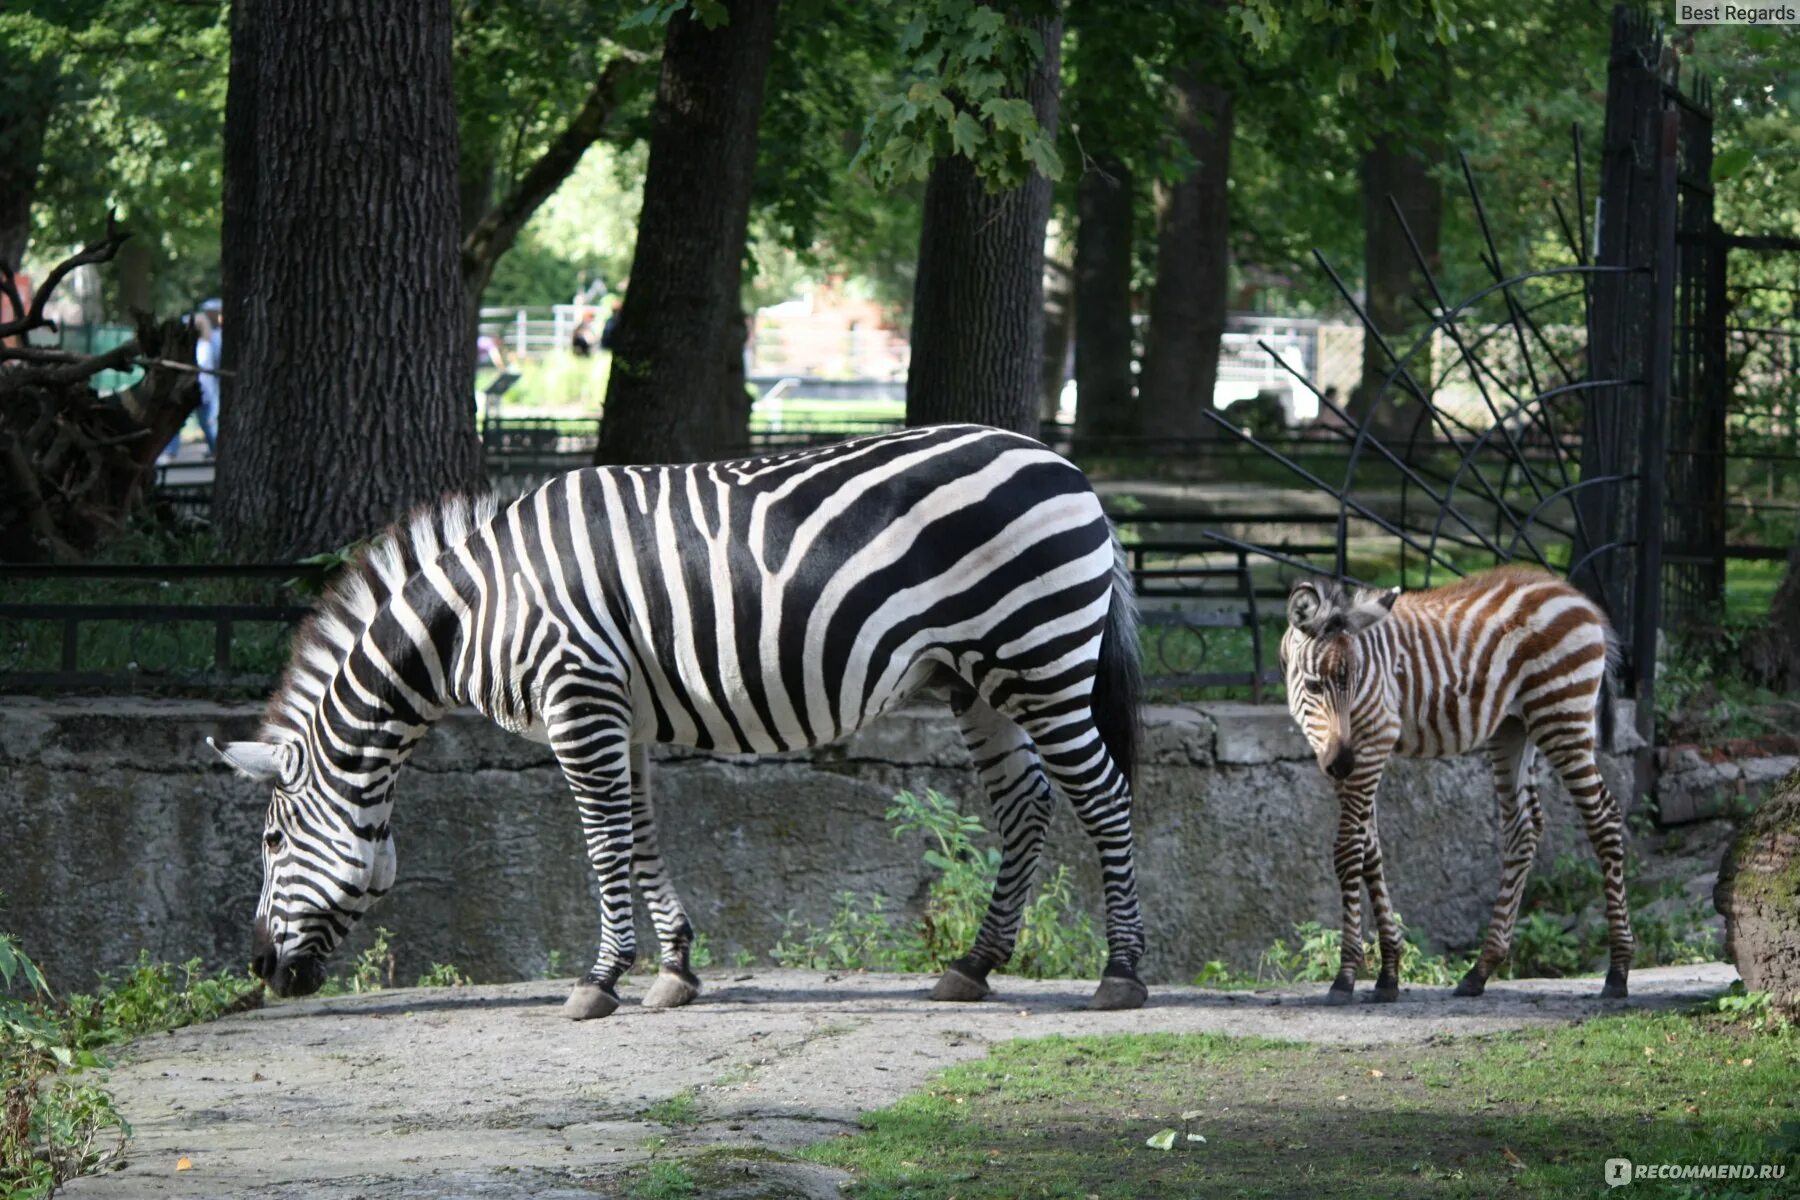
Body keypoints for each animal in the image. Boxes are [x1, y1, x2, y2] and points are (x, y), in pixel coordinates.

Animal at [210, 426, 1152, 1021]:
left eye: (271, 841)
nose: (257, 968)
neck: (472, 613)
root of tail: (1069, 469)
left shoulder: (578, 697)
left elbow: (602, 844)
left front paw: (598, 980)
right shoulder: (619, 713)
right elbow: (640, 836)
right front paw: (674, 970)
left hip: (1040, 657)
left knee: (1104, 797)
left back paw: (1122, 974)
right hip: (979, 677)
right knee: (1026, 805)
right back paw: (974, 966)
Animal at [1281, 572, 1634, 1007]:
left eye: (1354, 679)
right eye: (1314, 685)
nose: (1340, 763)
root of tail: (1578, 598)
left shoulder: (1374, 740)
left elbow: (1349, 853)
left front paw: (1346, 976)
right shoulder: (1354, 757)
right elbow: (1370, 854)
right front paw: (1388, 973)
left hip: (1561, 717)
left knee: (1604, 819)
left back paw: (1618, 972)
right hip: (1514, 727)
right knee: (1524, 828)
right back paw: (1480, 970)